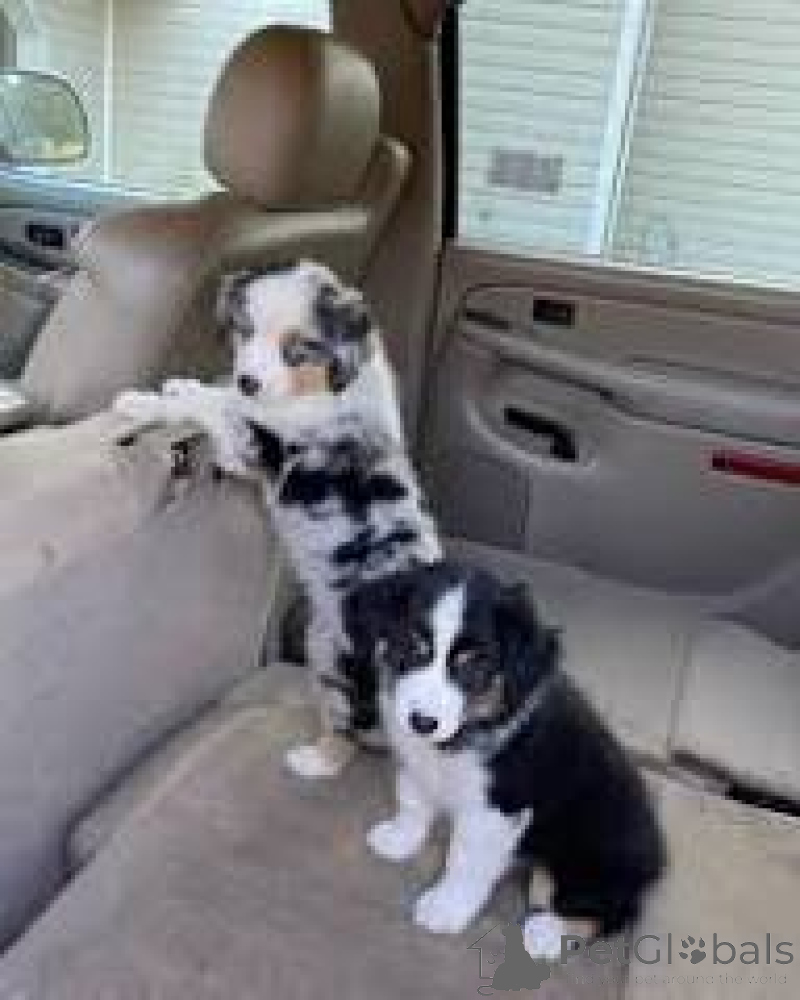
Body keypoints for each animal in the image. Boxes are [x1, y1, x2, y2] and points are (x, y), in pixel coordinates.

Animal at [115, 260, 441, 779]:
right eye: (245, 331)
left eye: (297, 348)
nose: (247, 379)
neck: (326, 383)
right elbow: (217, 397)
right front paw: (183, 386)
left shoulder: (252, 443)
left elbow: (217, 407)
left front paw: (145, 401)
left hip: (340, 666)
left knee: (353, 731)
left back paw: (313, 762)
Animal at [345, 561, 666, 957]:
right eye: (414, 645)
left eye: (473, 664)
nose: (422, 722)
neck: (469, 729)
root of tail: (656, 862)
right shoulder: (418, 761)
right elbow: (412, 800)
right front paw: (399, 838)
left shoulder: (497, 809)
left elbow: (465, 859)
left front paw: (445, 907)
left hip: (594, 856)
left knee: (613, 909)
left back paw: (549, 932)